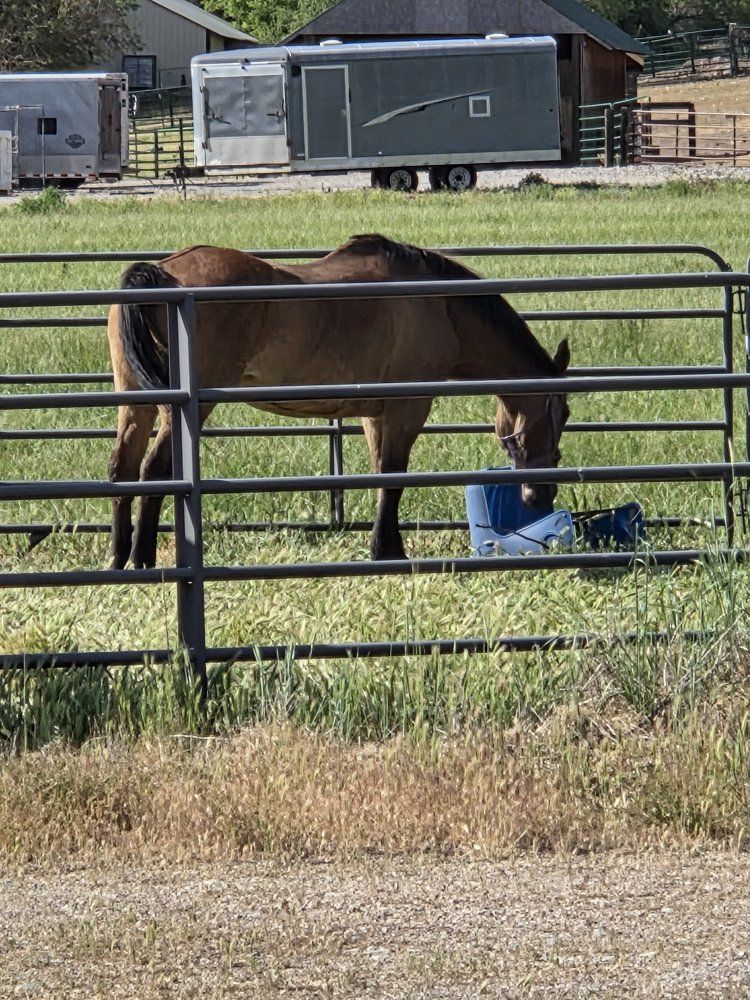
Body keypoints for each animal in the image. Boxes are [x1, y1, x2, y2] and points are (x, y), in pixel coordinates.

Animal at [107, 234, 570, 568]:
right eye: (562, 413)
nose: (541, 494)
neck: (438, 304)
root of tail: (162, 272)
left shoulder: (375, 415)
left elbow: (381, 476)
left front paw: (385, 547)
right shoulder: (408, 407)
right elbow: (394, 477)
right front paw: (387, 552)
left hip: (136, 402)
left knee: (123, 470)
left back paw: (119, 559)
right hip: (185, 409)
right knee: (155, 470)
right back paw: (144, 560)